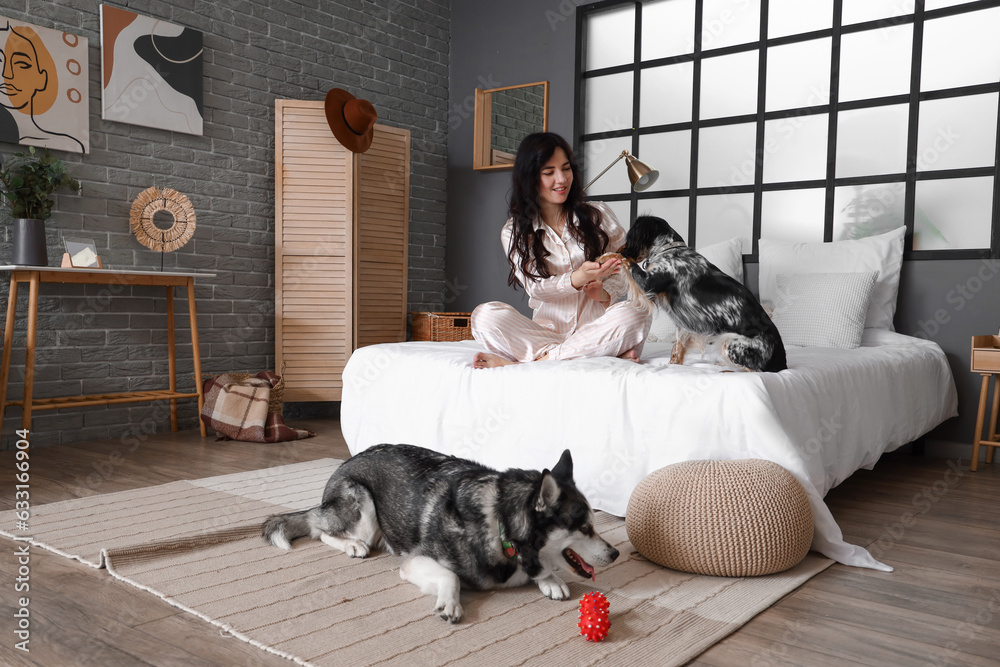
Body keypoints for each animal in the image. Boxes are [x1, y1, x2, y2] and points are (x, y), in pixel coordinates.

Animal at [260, 446, 616, 624]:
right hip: (363, 506)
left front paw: (550, 579)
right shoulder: (416, 561)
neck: (501, 523)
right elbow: (450, 576)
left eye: (593, 523)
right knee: (319, 529)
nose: (615, 554)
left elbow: (541, 570)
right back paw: (352, 545)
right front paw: (450, 602)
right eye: (585, 528)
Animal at [612, 217, 784, 374]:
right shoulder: (682, 325)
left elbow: (629, 262)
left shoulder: (647, 283)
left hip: (729, 342)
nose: (618, 249)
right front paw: (672, 365)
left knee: (756, 370)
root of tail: (781, 361)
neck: (668, 250)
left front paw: (615, 256)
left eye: (629, 237)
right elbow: (676, 350)